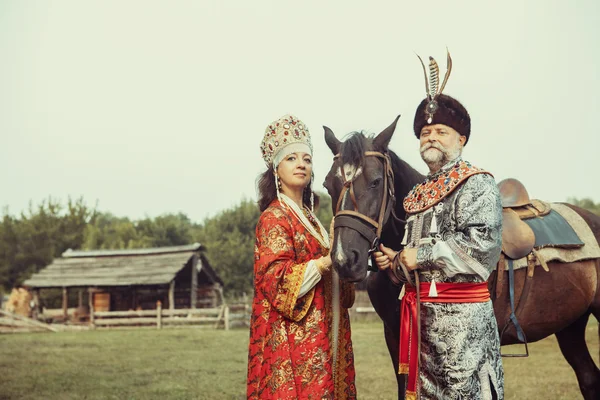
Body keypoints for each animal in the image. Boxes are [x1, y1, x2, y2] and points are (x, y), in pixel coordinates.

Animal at [326, 115, 600, 400]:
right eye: (327, 185)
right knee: (589, 378)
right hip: (570, 327)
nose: (345, 259)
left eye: (376, 181)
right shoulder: (394, 335)